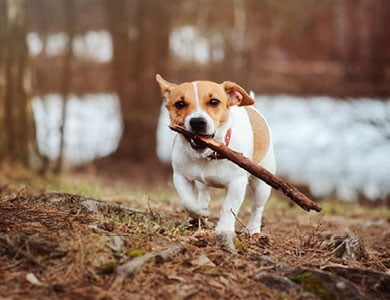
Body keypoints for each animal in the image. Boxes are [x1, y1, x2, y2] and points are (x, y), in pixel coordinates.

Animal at [156, 74, 278, 239]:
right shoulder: (181, 176)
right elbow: (188, 201)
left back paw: (253, 229)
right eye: (180, 104)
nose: (197, 122)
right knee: (203, 194)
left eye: (214, 102)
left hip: (262, 184)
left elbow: (228, 207)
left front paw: (224, 228)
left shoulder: (237, 183)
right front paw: (200, 214)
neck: (209, 155)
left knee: (257, 207)